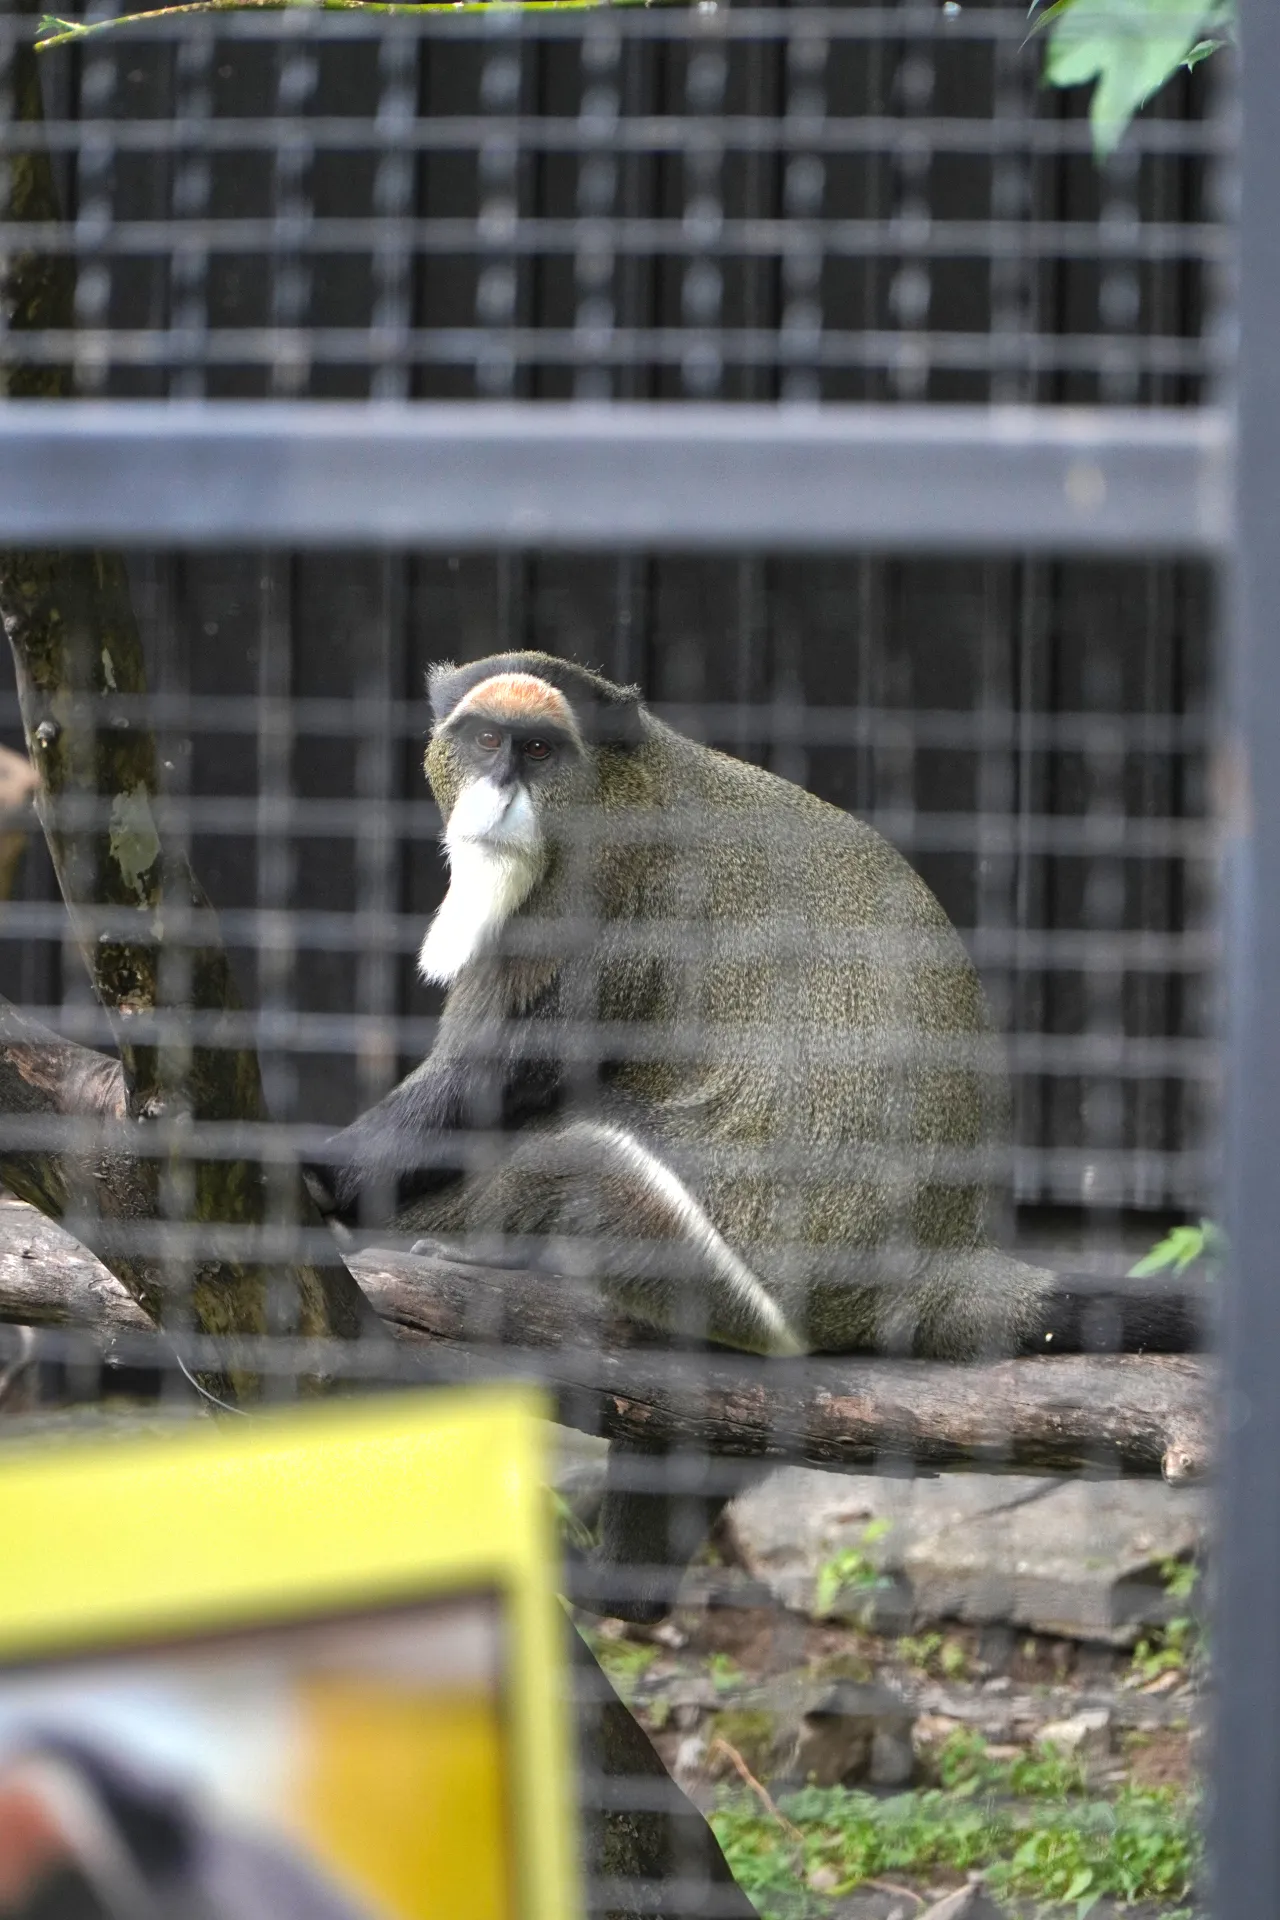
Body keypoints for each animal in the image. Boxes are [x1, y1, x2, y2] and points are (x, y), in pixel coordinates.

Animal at [312, 651, 1203, 1620]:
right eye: (483, 740)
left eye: (540, 749)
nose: (501, 789)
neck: (623, 786)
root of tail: (942, 1266)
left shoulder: (594, 921)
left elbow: (491, 1078)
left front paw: (318, 1175)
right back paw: (627, 1589)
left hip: (737, 1286)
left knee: (577, 1163)